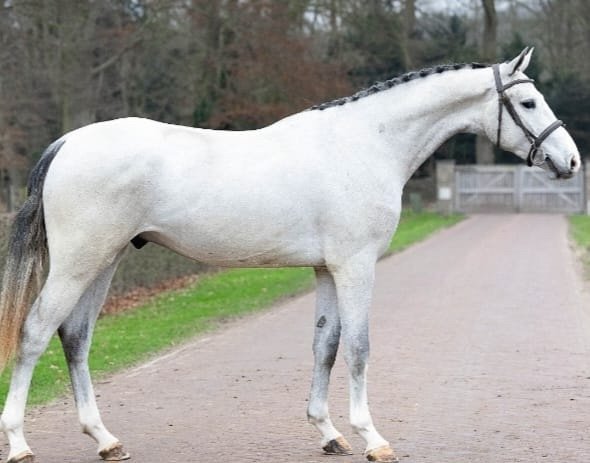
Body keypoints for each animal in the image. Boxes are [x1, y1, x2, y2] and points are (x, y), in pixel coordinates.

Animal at [0, 47, 580, 463]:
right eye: (529, 103)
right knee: (35, 333)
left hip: (106, 260)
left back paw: (106, 440)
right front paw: (372, 438)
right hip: (79, 261)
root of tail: (67, 144)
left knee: (75, 337)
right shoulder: (356, 266)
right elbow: (359, 348)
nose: (570, 160)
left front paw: (328, 433)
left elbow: (325, 345)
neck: (366, 143)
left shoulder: (326, 268)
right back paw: (21, 444)